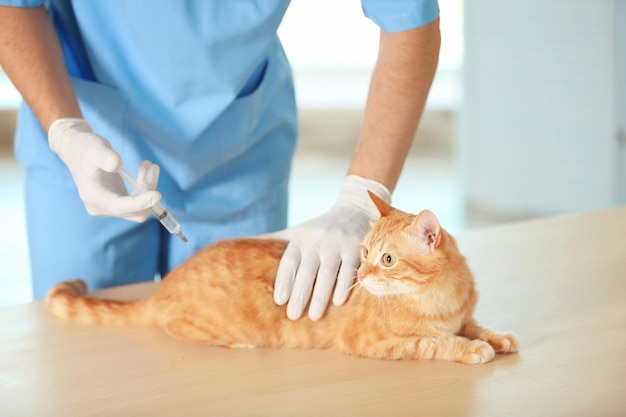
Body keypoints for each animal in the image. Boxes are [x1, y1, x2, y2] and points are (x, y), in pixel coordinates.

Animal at [47, 191, 516, 360]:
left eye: (386, 260)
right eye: (365, 253)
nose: (361, 275)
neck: (438, 299)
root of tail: (171, 281)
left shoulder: (463, 314)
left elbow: (475, 325)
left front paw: (497, 337)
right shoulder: (372, 343)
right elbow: (433, 342)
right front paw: (469, 348)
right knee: (175, 326)